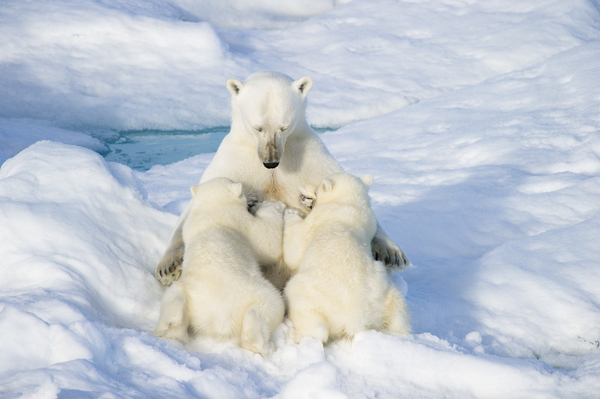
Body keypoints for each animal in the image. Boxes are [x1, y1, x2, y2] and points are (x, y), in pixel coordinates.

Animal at [155, 72, 410, 290]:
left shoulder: (311, 156)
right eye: (257, 127)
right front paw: (169, 266)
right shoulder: (232, 162)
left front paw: (391, 253)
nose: (271, 162)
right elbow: (194, 207)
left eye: (284, 126)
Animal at [155, 178, 286, 356]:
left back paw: (169, 330)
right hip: (257, 292)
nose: (252, 202)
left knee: (174, 299)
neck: (211, 209)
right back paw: (264, 346)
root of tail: (220, 321)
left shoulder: (189, 225)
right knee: (268, 307)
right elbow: (267, 240)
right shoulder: (239, 220)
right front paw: (275, 206)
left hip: (186, 292)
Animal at [284, 173, 410, 344]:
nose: (309, 197)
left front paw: (289, 212)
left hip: (310, 294)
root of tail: (355, 320)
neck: (349, 203)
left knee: (311, 319)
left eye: (317, 189)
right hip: (385, 294)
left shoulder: (317, 219)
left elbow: (294, 248)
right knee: (399, 313)